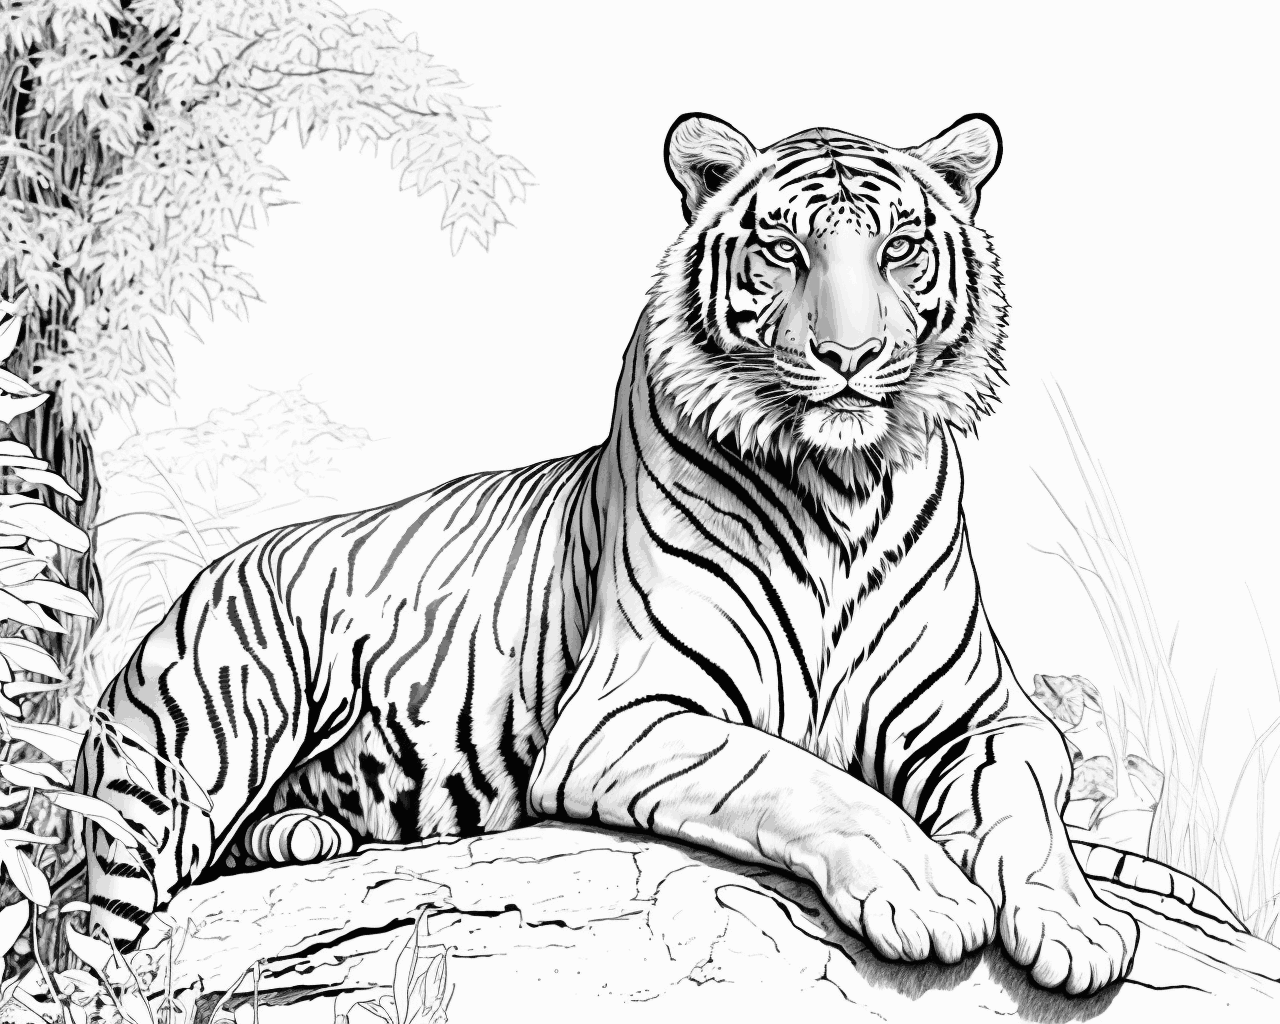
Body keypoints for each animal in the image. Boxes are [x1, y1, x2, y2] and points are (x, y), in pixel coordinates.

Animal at [76, 111, 1143, 996]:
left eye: (900, 249)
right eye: (784, 250)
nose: (848, 357)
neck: (841, 489)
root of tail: (192, 588)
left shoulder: (987, 715)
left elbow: (1026, 801)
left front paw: (1079, 926)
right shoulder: (628, 710)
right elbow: (803, 777)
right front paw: (929, 896)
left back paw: (305, 830)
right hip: (189, 762)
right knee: (88, 928)